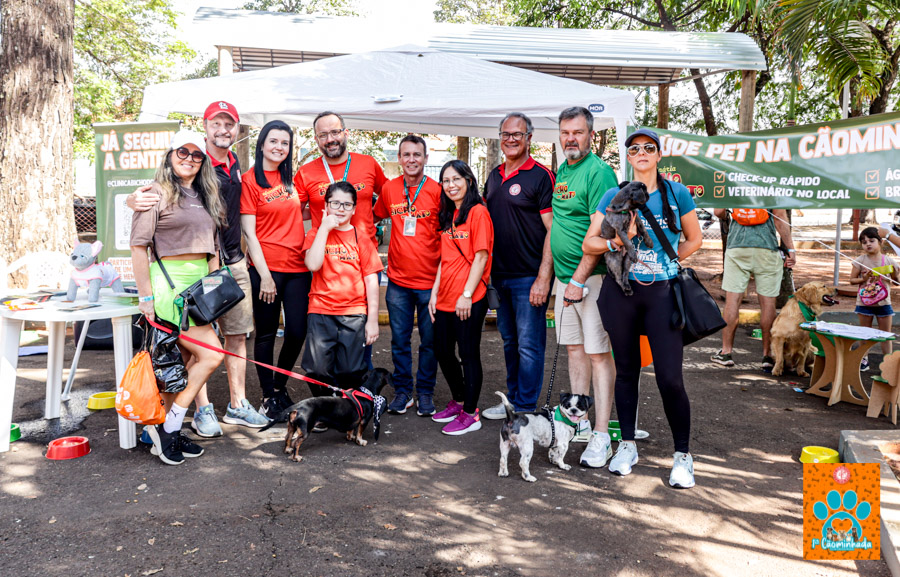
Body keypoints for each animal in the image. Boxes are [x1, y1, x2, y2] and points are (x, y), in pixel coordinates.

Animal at [258, 368, 391, 462]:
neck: (367, 392)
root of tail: (298, 406)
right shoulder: (364, 420)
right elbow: (359, 433)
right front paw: (360, 441)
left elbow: (351, 430)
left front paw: (351, 437)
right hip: (306, 430)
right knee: (296, 443)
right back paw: (296, 457)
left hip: (292, 427)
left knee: (287, 438)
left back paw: (288, 450)